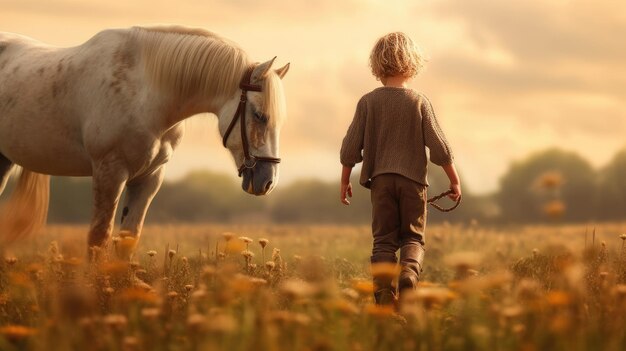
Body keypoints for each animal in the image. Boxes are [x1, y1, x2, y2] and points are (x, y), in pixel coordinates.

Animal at [0, 24, 288, 256]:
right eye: (260, 115)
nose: (268, 182)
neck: (145, 92)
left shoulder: (149, 178)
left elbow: (127, 241)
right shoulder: (109, 173)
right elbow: (98, 239)